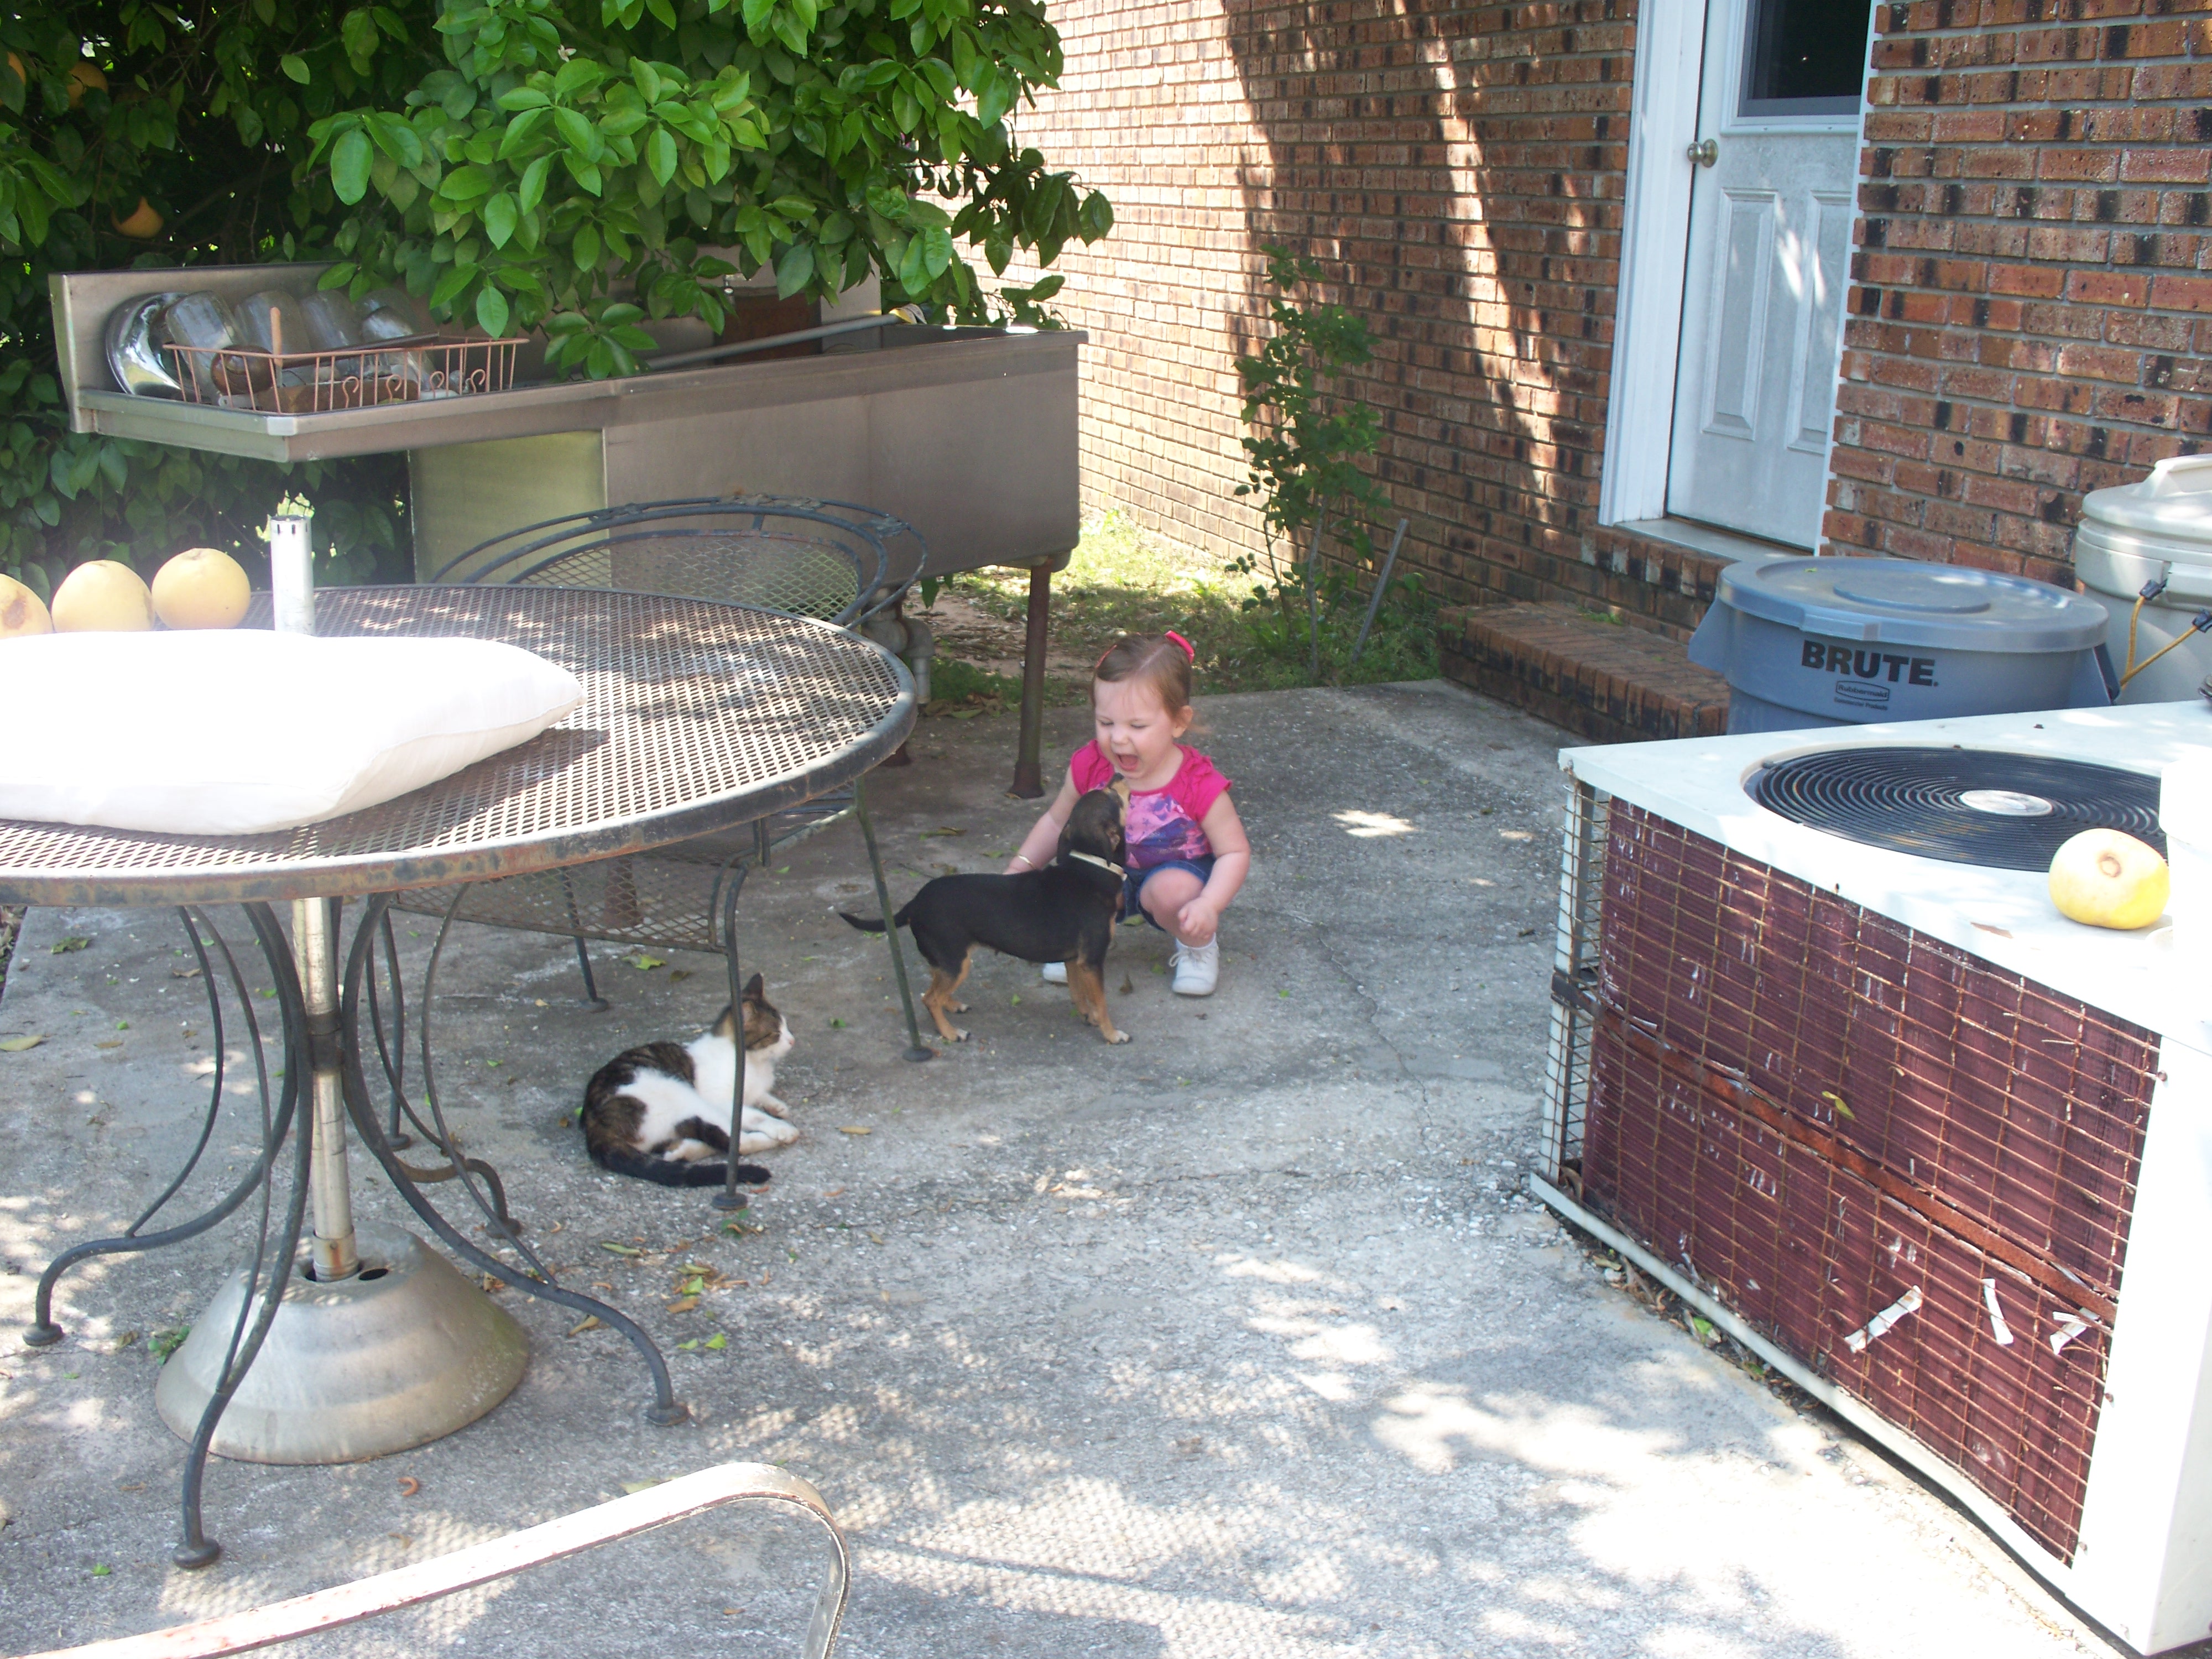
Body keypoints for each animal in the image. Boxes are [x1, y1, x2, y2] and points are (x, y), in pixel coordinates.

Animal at [580, 974, 798, 1187]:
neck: (755, 1062)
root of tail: (592, 1123)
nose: (792, 1040)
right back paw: (783, 1136)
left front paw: (776, 1106)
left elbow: (759, 1096)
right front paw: (778, 1126)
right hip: (681, 1093)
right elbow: (753, 1116)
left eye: (786, 1026)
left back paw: (681, 1151)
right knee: (737, 1143)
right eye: (776, 1034)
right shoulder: (722, 1101)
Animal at [840, 786, 1131, 1044]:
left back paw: (952, 1006)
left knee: (934, 988)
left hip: (947, 960)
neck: (1090, 868)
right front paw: (1112, 1034)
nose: (1119, 773)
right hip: (957, 961)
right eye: (1114, 795)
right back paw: (950, 1033)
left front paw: (1089, 1016)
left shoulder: (1074, 961)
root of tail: (915, 903)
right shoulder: (1091, 960)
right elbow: (1101, 1002)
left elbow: (1079, 995)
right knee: (929, 998)